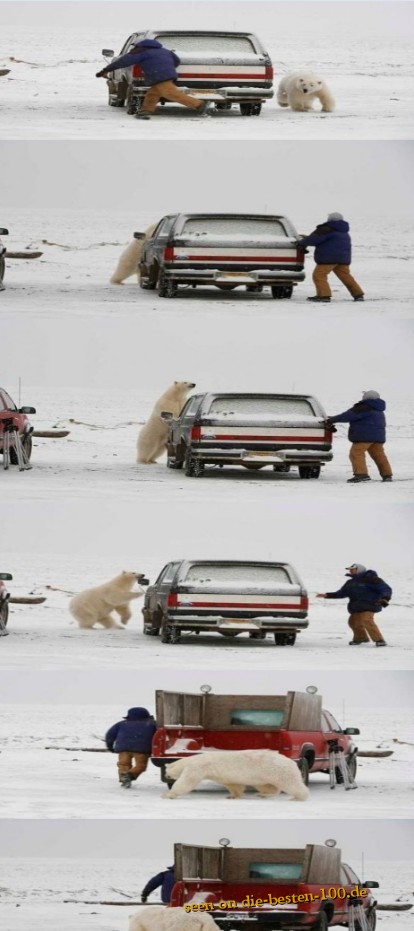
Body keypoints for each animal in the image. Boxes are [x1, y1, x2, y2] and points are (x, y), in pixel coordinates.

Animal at [163, 748, 308, 800]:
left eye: (166, 772)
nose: (167, 776)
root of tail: (291, 762)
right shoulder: (224, 776)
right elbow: (234, 784)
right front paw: (232, 796)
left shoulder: (197, 768)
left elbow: (187, 781)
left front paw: (168, 795)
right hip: (263, 776)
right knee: (268, 786)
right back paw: (262, 794)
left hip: (277, 771)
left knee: (291, 784)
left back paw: (298, 797)